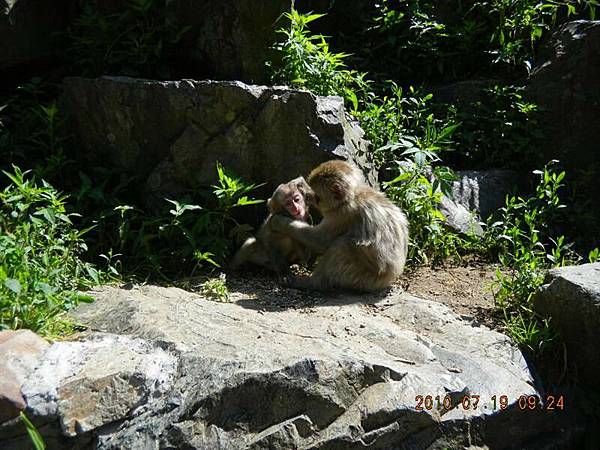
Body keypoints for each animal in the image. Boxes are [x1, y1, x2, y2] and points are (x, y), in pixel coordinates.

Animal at [270, 159, 408, 292]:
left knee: (341, 245)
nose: (311, 197)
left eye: (318, 197)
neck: (352, 196)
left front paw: (278, 222)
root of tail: (391, 278)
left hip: (363, 279)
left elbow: (320, 240)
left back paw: (313, 283)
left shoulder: (342, 214)